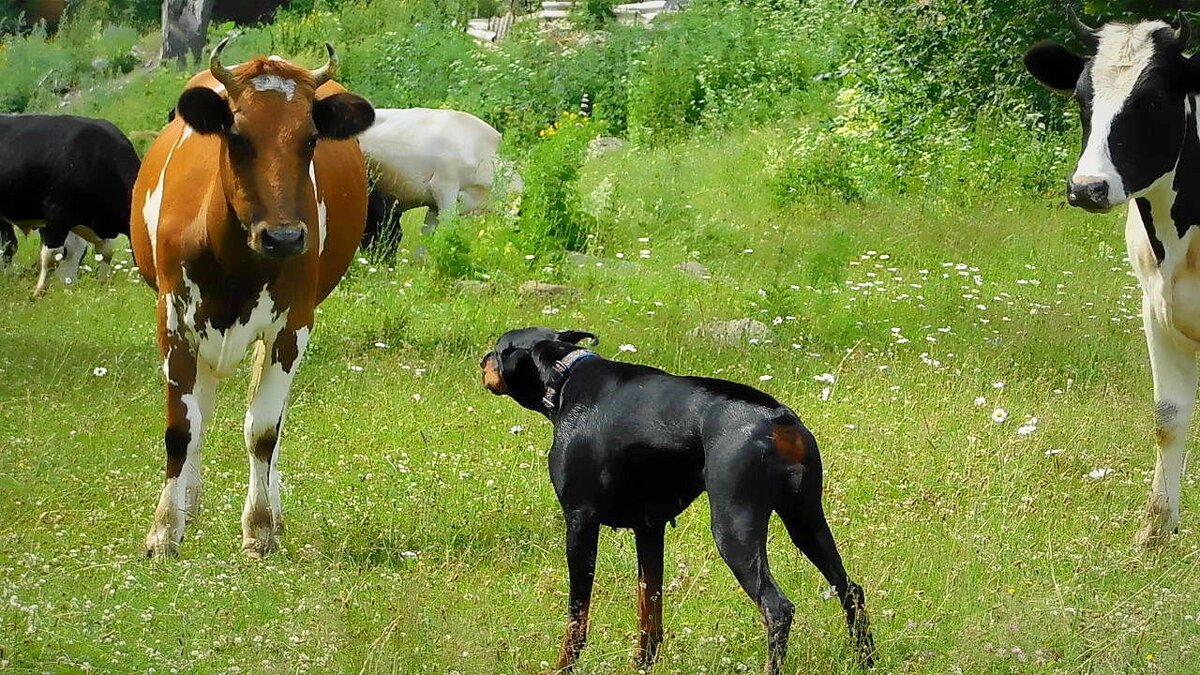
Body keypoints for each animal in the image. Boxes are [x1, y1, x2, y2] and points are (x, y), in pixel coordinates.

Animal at [0, 112, 140, 294]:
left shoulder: (84, 222)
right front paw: (39, 292)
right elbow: (53, 255)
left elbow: (102, 251)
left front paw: (102, 283)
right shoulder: (56, 213)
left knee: (8, 245)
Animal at [130, 39, 374, 559]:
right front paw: (164, 529)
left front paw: (260, 527)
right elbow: (182, 429)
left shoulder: (292, 325)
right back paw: (189, 504)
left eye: (310, 140)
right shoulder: (174, 319)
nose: (283, 237)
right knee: (201, 412)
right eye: (238, 137)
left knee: (270, 424)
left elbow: (263, 430)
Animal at [482, 324, 878, 667]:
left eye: (499, 349)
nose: (482, 360)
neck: (565, 377)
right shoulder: (649, 529)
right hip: (806, 520)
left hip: (734, 527)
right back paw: (867, 661)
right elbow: (649, 609)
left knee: (778, 608)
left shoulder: (580, 522)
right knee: (851, 589)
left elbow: (577, 617)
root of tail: (778, 419)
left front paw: (564, 665)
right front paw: (642, 665)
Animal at [1022, 10, 1200, 542]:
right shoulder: (1156, 309)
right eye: (1083, 99)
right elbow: (1168, 417)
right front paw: (1156, 532)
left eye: (1154, 100)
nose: (1088, 187)